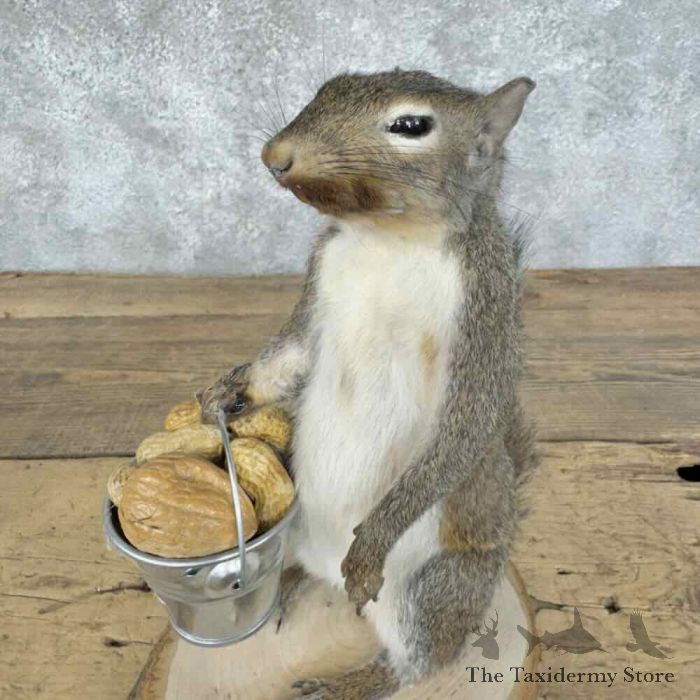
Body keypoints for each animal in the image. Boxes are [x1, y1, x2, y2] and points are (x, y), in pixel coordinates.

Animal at [199, 69, 538, 699]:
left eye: (411, 125)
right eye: (326, 87)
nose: (275, 155)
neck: (388, 239)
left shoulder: (483, 319)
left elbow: (462, 429)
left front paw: (374, 539)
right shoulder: (317, 290)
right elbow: (286, 357)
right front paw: (226, 394)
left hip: (431, 589)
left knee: (415, 663)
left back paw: (347, 679)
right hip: (296, 529)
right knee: (301, 571)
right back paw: (287, 585)